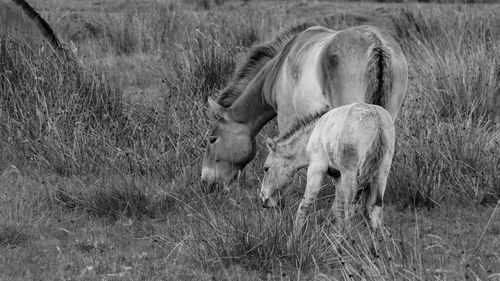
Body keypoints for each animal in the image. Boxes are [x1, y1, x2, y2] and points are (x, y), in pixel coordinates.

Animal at [258, 103, 394, 234]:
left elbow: (305, 204)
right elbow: (338, 208)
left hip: (350, 174)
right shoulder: (338, 175)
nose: (263, 199)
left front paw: (294, 237)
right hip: (382, 172)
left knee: (351, 208)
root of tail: (377, 121)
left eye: (266, 168)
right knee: (375, 207)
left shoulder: (316, 168)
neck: (313, 134)